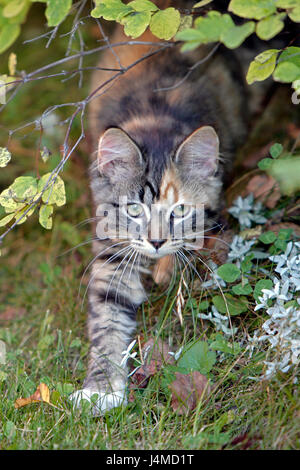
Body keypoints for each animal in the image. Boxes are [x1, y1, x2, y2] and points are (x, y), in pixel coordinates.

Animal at [70, 0, 248, 414]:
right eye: (134, 210)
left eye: (179, 211)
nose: (154, 243)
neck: (157, 119)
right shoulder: (112, 253)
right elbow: (107, 323)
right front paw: (101, 388)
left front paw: (167, 269)